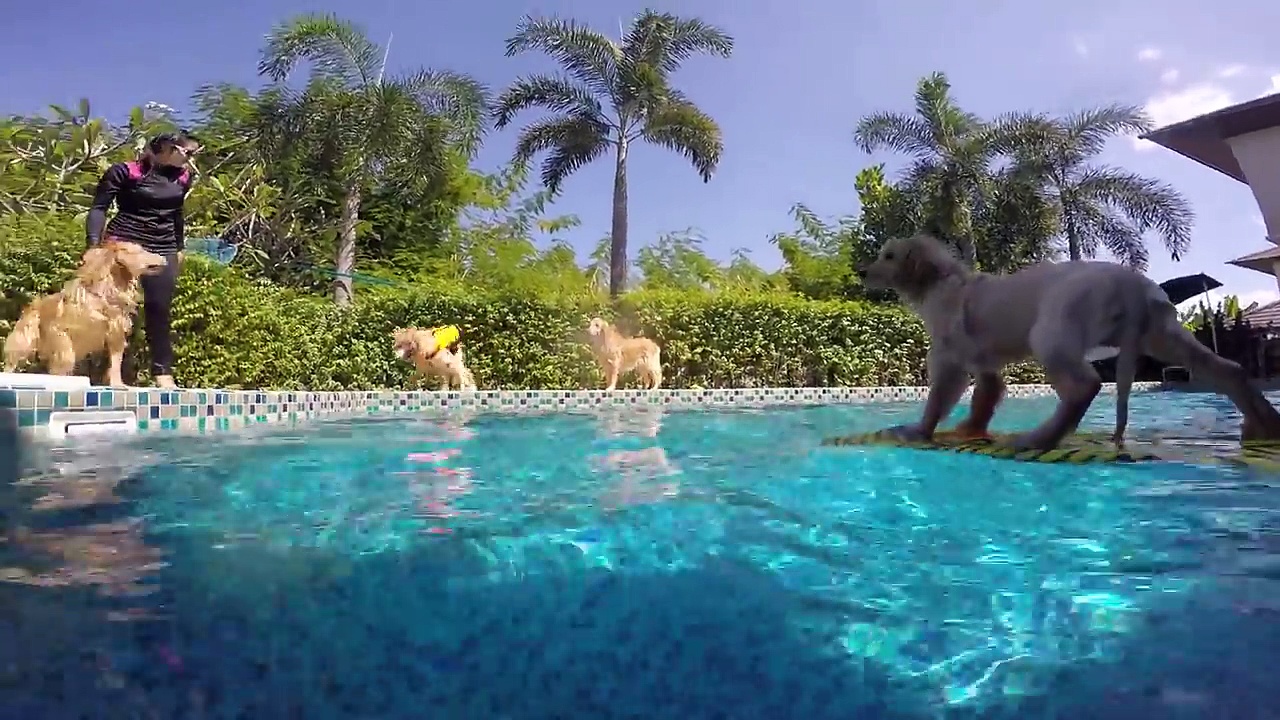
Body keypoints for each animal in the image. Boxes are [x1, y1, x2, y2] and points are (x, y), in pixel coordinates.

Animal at [4, 239, 170, 386]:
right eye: (140, 251)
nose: (163, 257)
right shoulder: (60, 332)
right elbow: (65, 357)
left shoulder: (116, 333)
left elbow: (116, 364)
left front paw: (118, 384)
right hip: (23, 340)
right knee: (11, 363)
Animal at [855, 234, 1280, 448]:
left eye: (888, 255)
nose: (860, 271)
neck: (941, 282)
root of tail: (1131, 285)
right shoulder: (985, 363)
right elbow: (986, 397)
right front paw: (971, 430)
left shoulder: (948, 357)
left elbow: (938, 400)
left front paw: (919, 431)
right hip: (1164, 336)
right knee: (1230, 370)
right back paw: (1263, 426)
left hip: (1050, 334)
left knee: (1085, 385)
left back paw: (1038, 438)